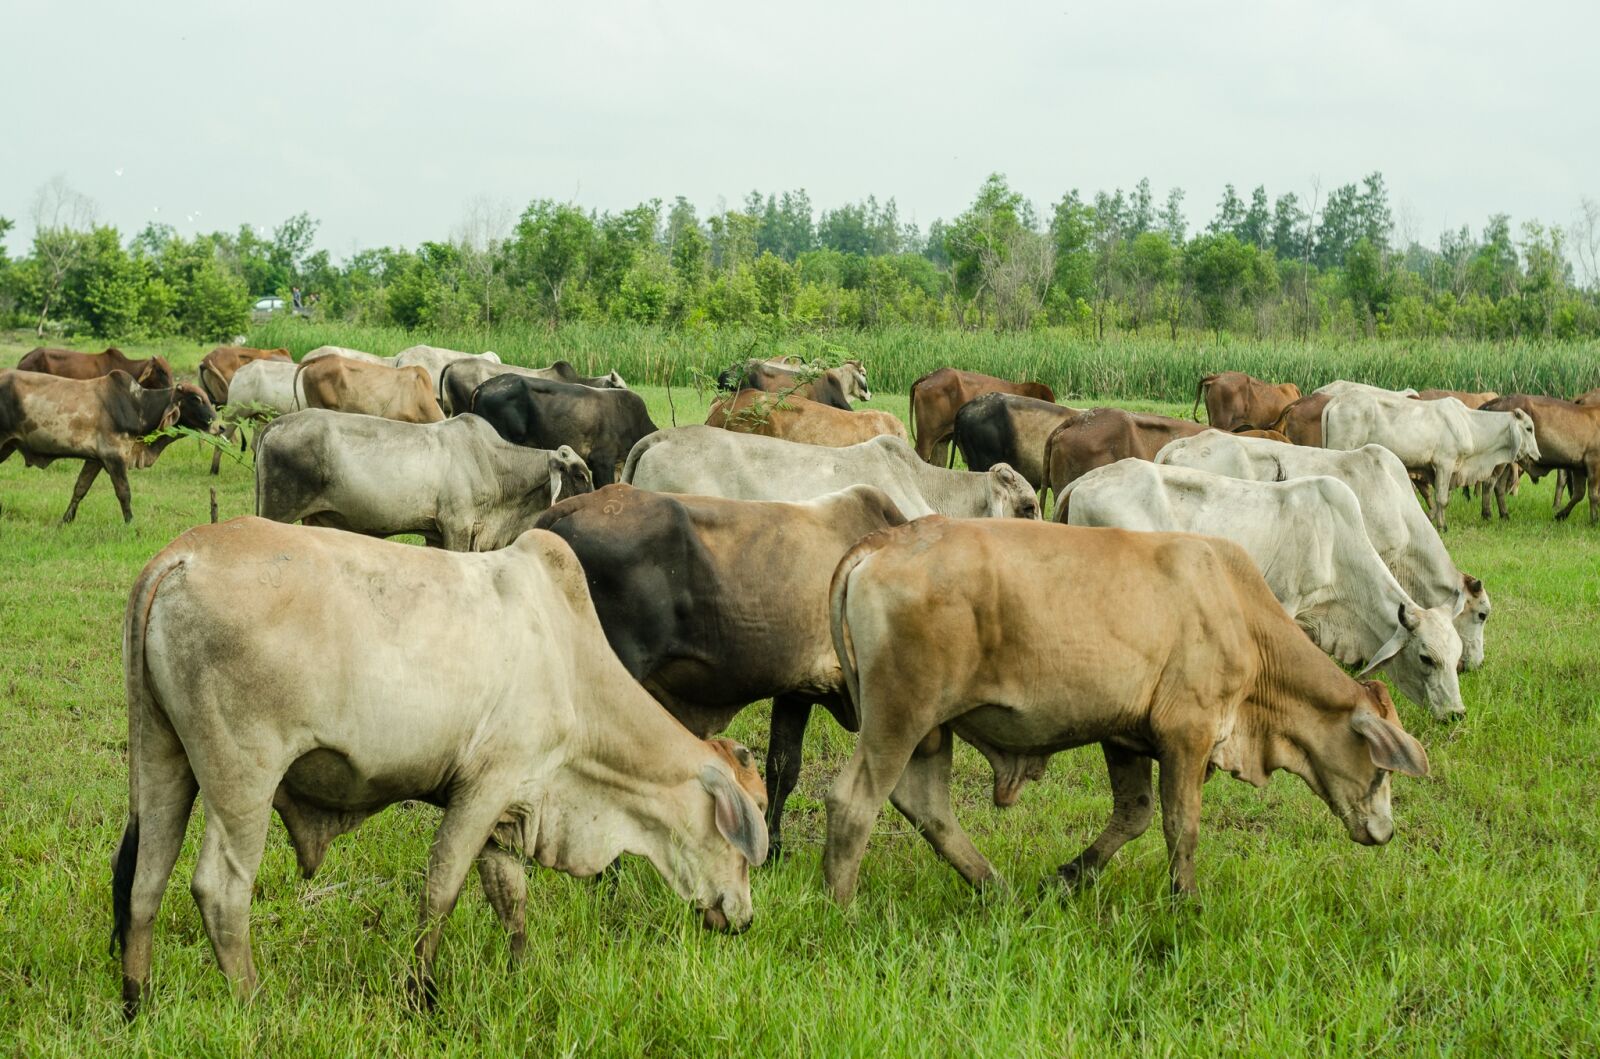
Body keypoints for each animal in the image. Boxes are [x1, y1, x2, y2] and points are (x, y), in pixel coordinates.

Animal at [0, 370, 217, 523]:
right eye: (196, 398)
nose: (219, 425)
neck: (138, 405)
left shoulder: (95, 459)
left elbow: (80, 488)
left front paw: (65, 521)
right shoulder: (114, 456)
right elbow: (124, 493)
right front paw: (131, 525)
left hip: (7, 446)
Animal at [111, 518, 768, 1016]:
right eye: (742, 847)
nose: (743, 920)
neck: (571, 664)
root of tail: (181, 555)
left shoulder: (510, 807)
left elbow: (510, 897)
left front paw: (521, 971)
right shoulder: (485, 787)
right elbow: (442, 891)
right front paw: (420, 997)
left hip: (165, 757)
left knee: (145, 881)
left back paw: (136, 1002)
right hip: (242, 780)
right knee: (221, 891)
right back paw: (255, 1005)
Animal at [821, 517, 1429, 905]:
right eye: (1381, 771)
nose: (1386, 832)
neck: (1239, 612)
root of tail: (887, 539)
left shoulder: (1124, 736)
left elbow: (1133, 815)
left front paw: (1068, 877)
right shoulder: (1189, 733)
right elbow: (1180, 826)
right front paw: (1186, 902)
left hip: (930, 729)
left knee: (927, 807)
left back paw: (997, 890)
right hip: (900, 716)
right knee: (854, 801)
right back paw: (840, 907)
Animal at [1321, 389, 1541, 530]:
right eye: (1529, 428)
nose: (1538, 456)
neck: (1469, 425)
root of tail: (1336, 401)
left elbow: (1438, 498)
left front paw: (1430, 519)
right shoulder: (1444, 463)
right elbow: (1442, 499)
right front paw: (1442, 526)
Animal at [1479, 394, 1600, 523]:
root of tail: (1499, 399)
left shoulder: (1578, 467)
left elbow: (1579, 494)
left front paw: (1560, 515)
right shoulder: (1594, 462)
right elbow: (1593, 494)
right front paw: (1594, 520)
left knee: (1499, 486)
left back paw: (1505, 515)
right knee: (1489, 482)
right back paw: (1487, 515)